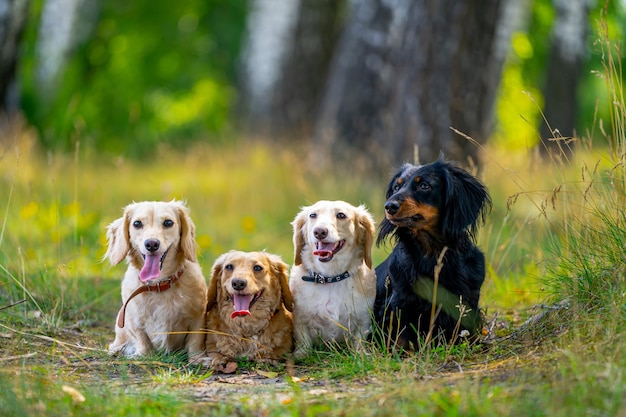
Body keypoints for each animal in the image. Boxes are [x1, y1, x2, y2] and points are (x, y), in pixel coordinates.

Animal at [105, 199, 206, 360]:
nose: (151, 244)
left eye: (168, 222)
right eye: (137, 223)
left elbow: (195, 341)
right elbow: (142, 339)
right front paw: (142, 355)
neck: (159, 284)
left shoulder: (198, 318)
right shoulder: (134, 320)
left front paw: (197, 359)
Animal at [288, 200, 376, 356]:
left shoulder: (363, 318)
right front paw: (300, 355)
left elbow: (359, 340)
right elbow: (304, 341)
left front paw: (361, 354)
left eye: (341, 215)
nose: (319, 232)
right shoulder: (300, 319)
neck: (330, 277)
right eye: (312, 215)